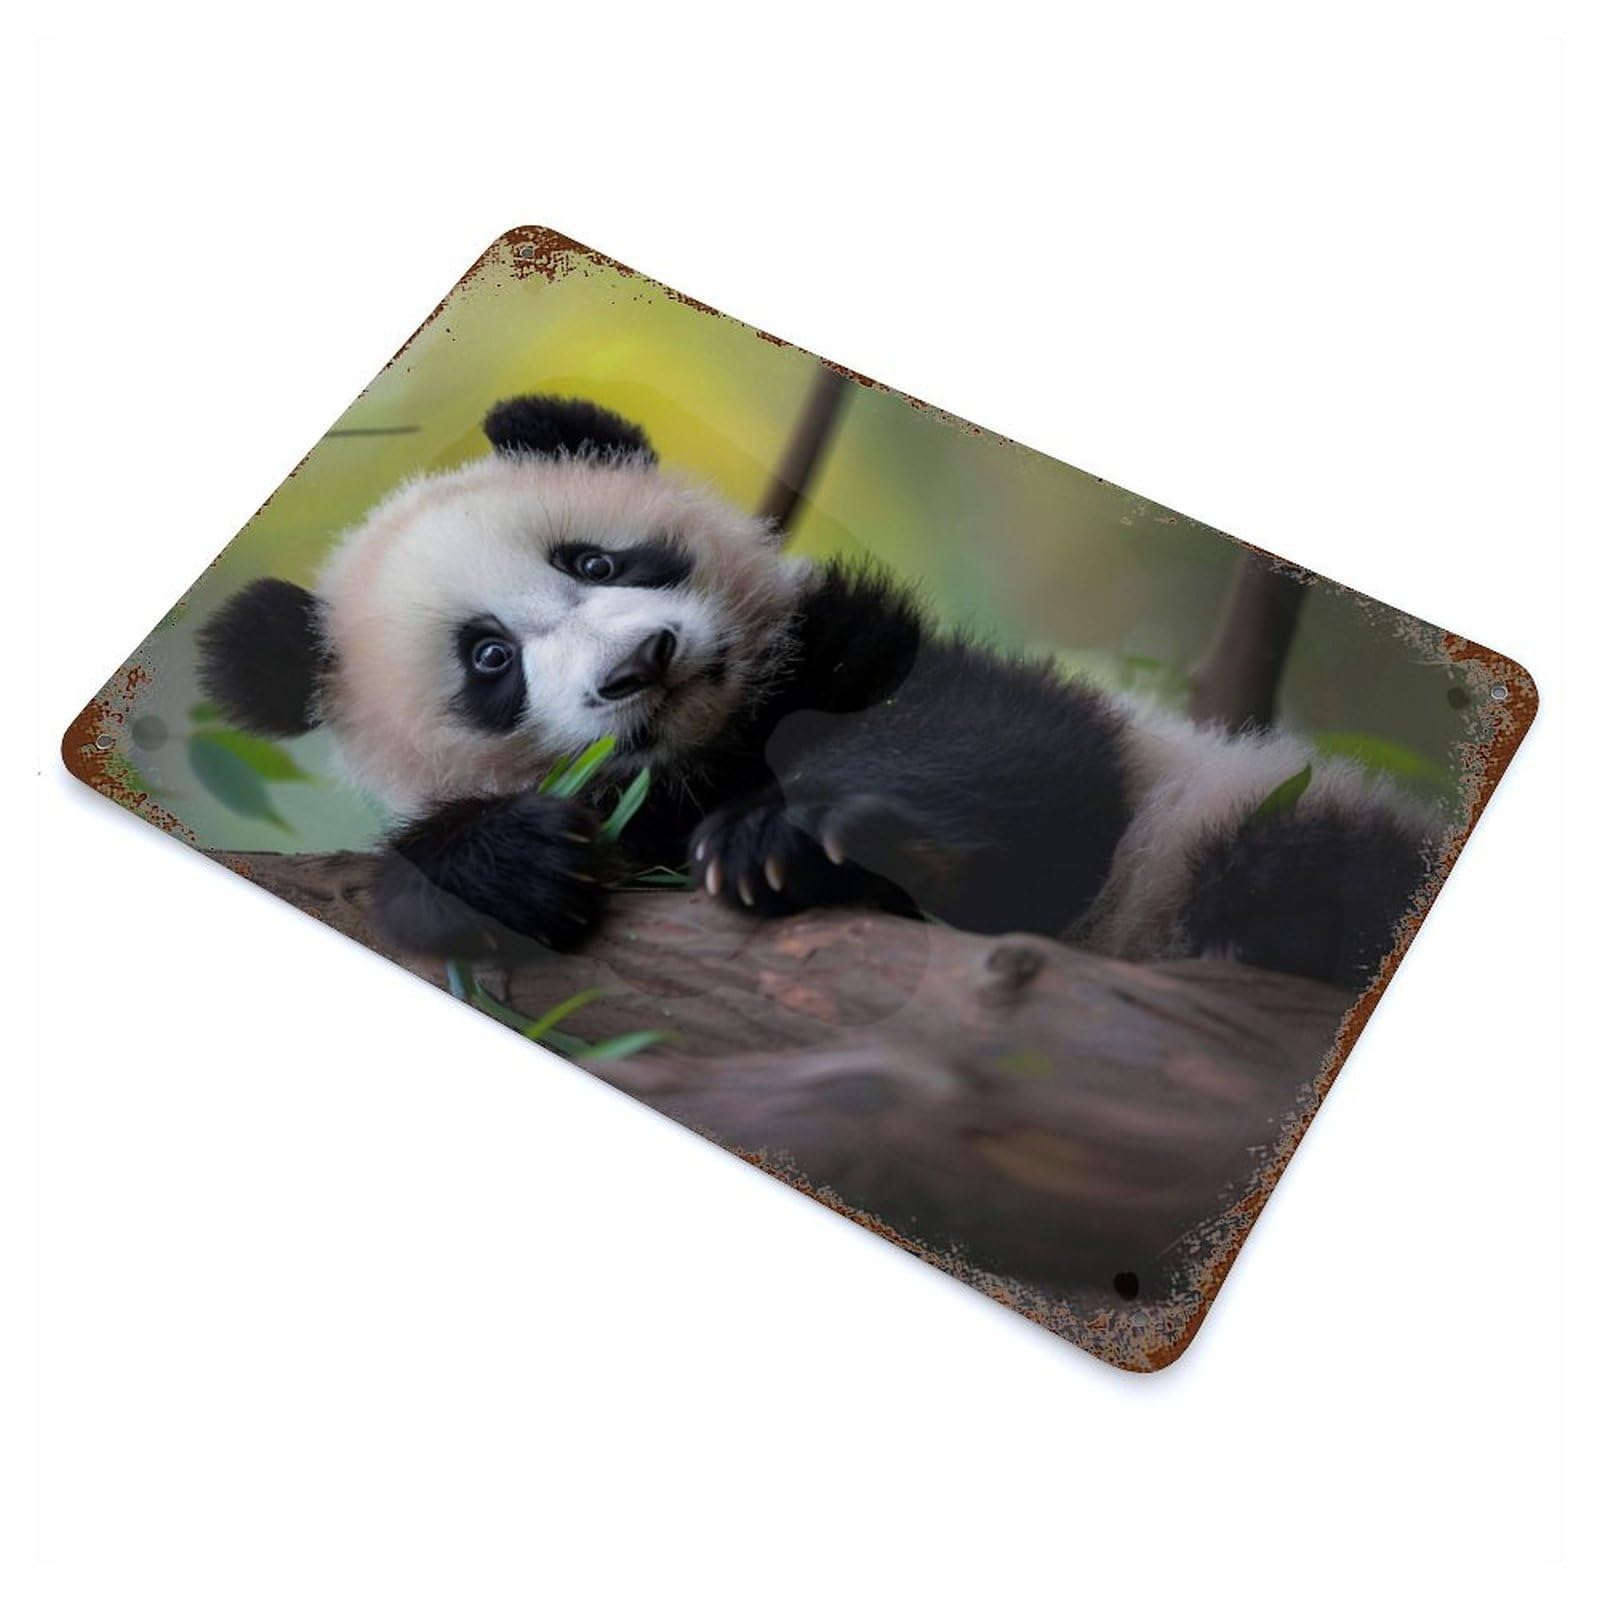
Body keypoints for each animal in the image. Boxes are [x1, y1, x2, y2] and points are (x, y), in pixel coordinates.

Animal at [198, 394, 1432, 991]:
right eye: (489, 659)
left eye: (592, 559)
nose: (643, 663)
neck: (712, 748)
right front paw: (515, 861)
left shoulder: (857, 646)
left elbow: (1022, 756)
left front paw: (782, 839)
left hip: (1228, 823)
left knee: (1298, 873)